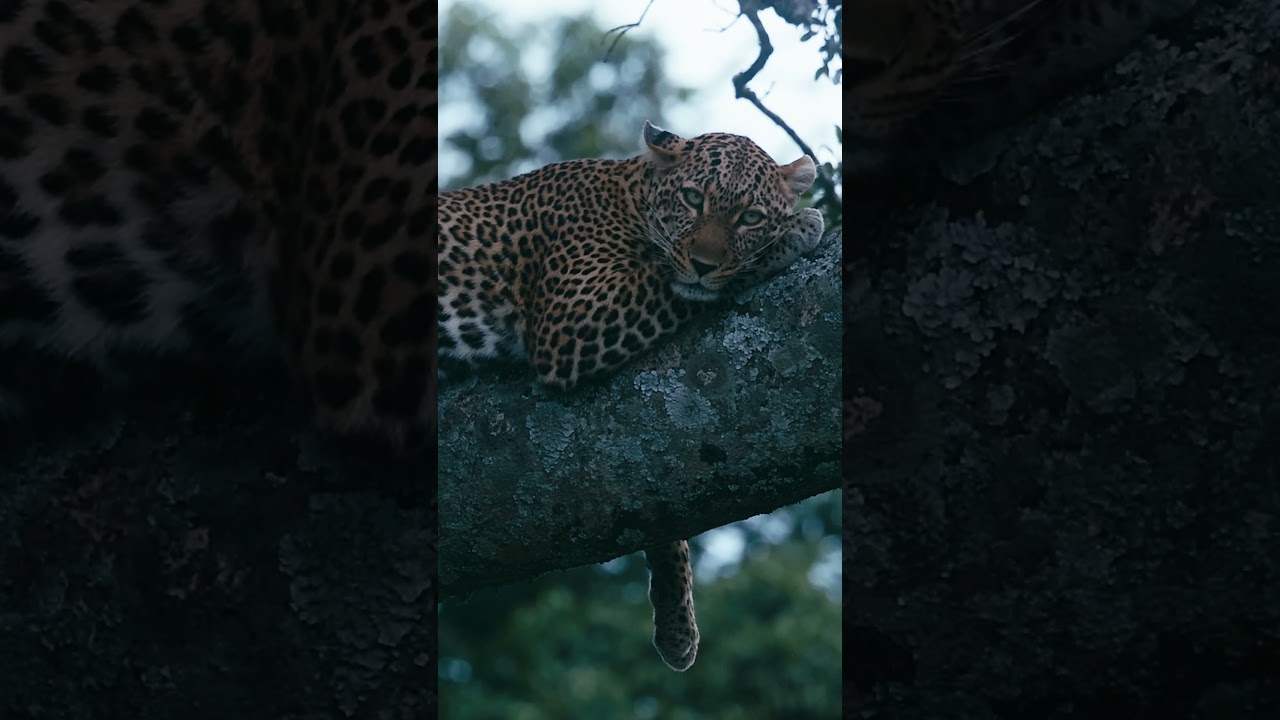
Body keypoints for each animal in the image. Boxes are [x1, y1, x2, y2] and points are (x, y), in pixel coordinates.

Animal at [437, 121, 826, 671]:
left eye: (750, 216)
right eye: (692, 199)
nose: (704, 264)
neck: (632, 196)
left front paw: (677, 624)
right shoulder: (573, 318)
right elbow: (669, 282)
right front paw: (795, 231)